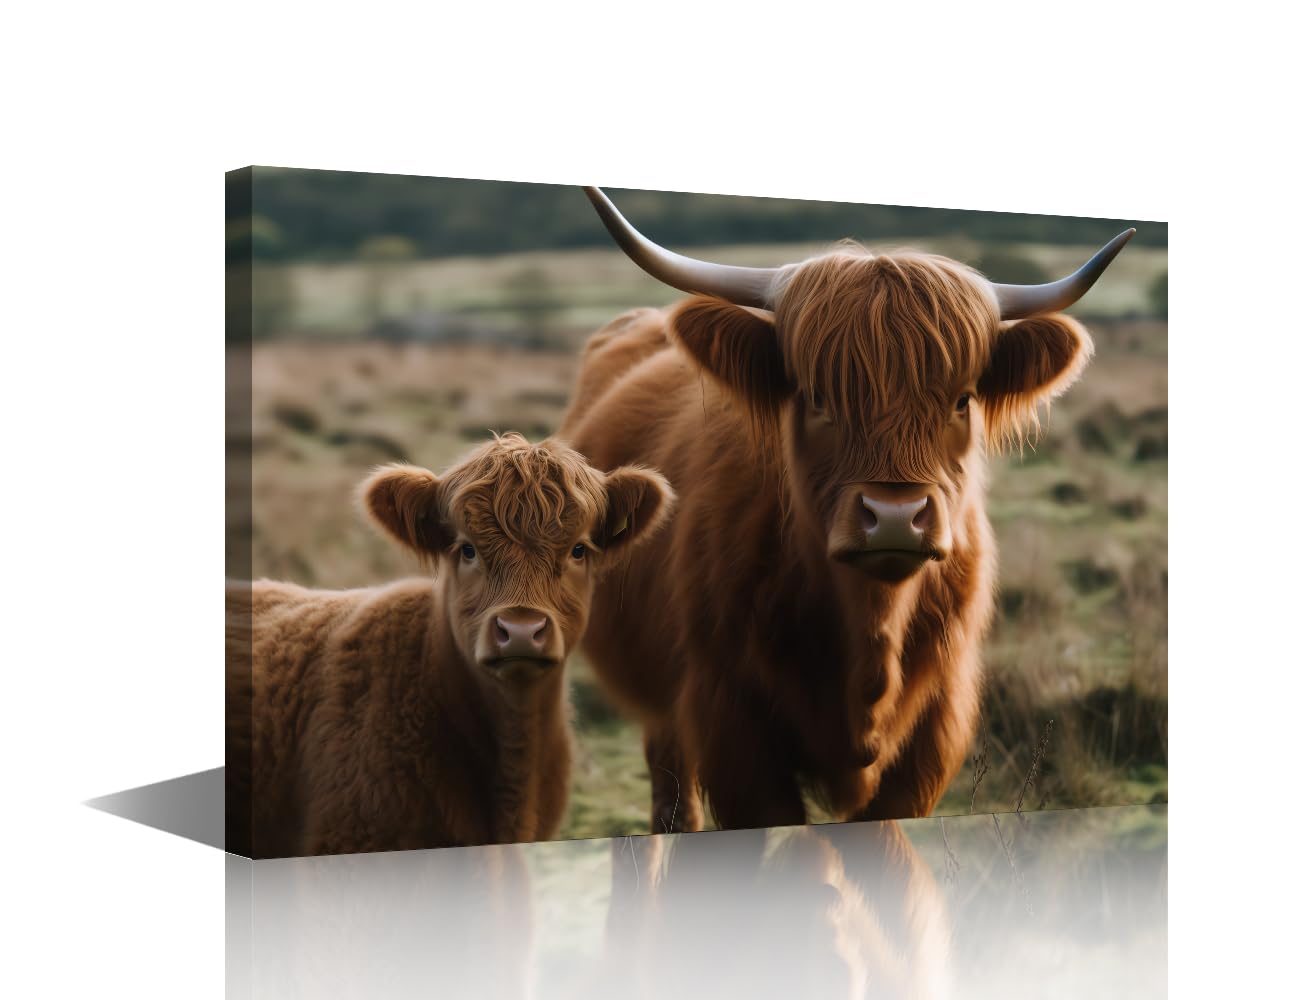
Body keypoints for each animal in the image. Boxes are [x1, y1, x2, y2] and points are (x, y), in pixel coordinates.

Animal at [560, 187, 1133, 833]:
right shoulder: (732, 730)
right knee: (672, 798)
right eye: (815, 398)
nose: (895, 515)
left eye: (962, 400)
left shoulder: (935, 733)